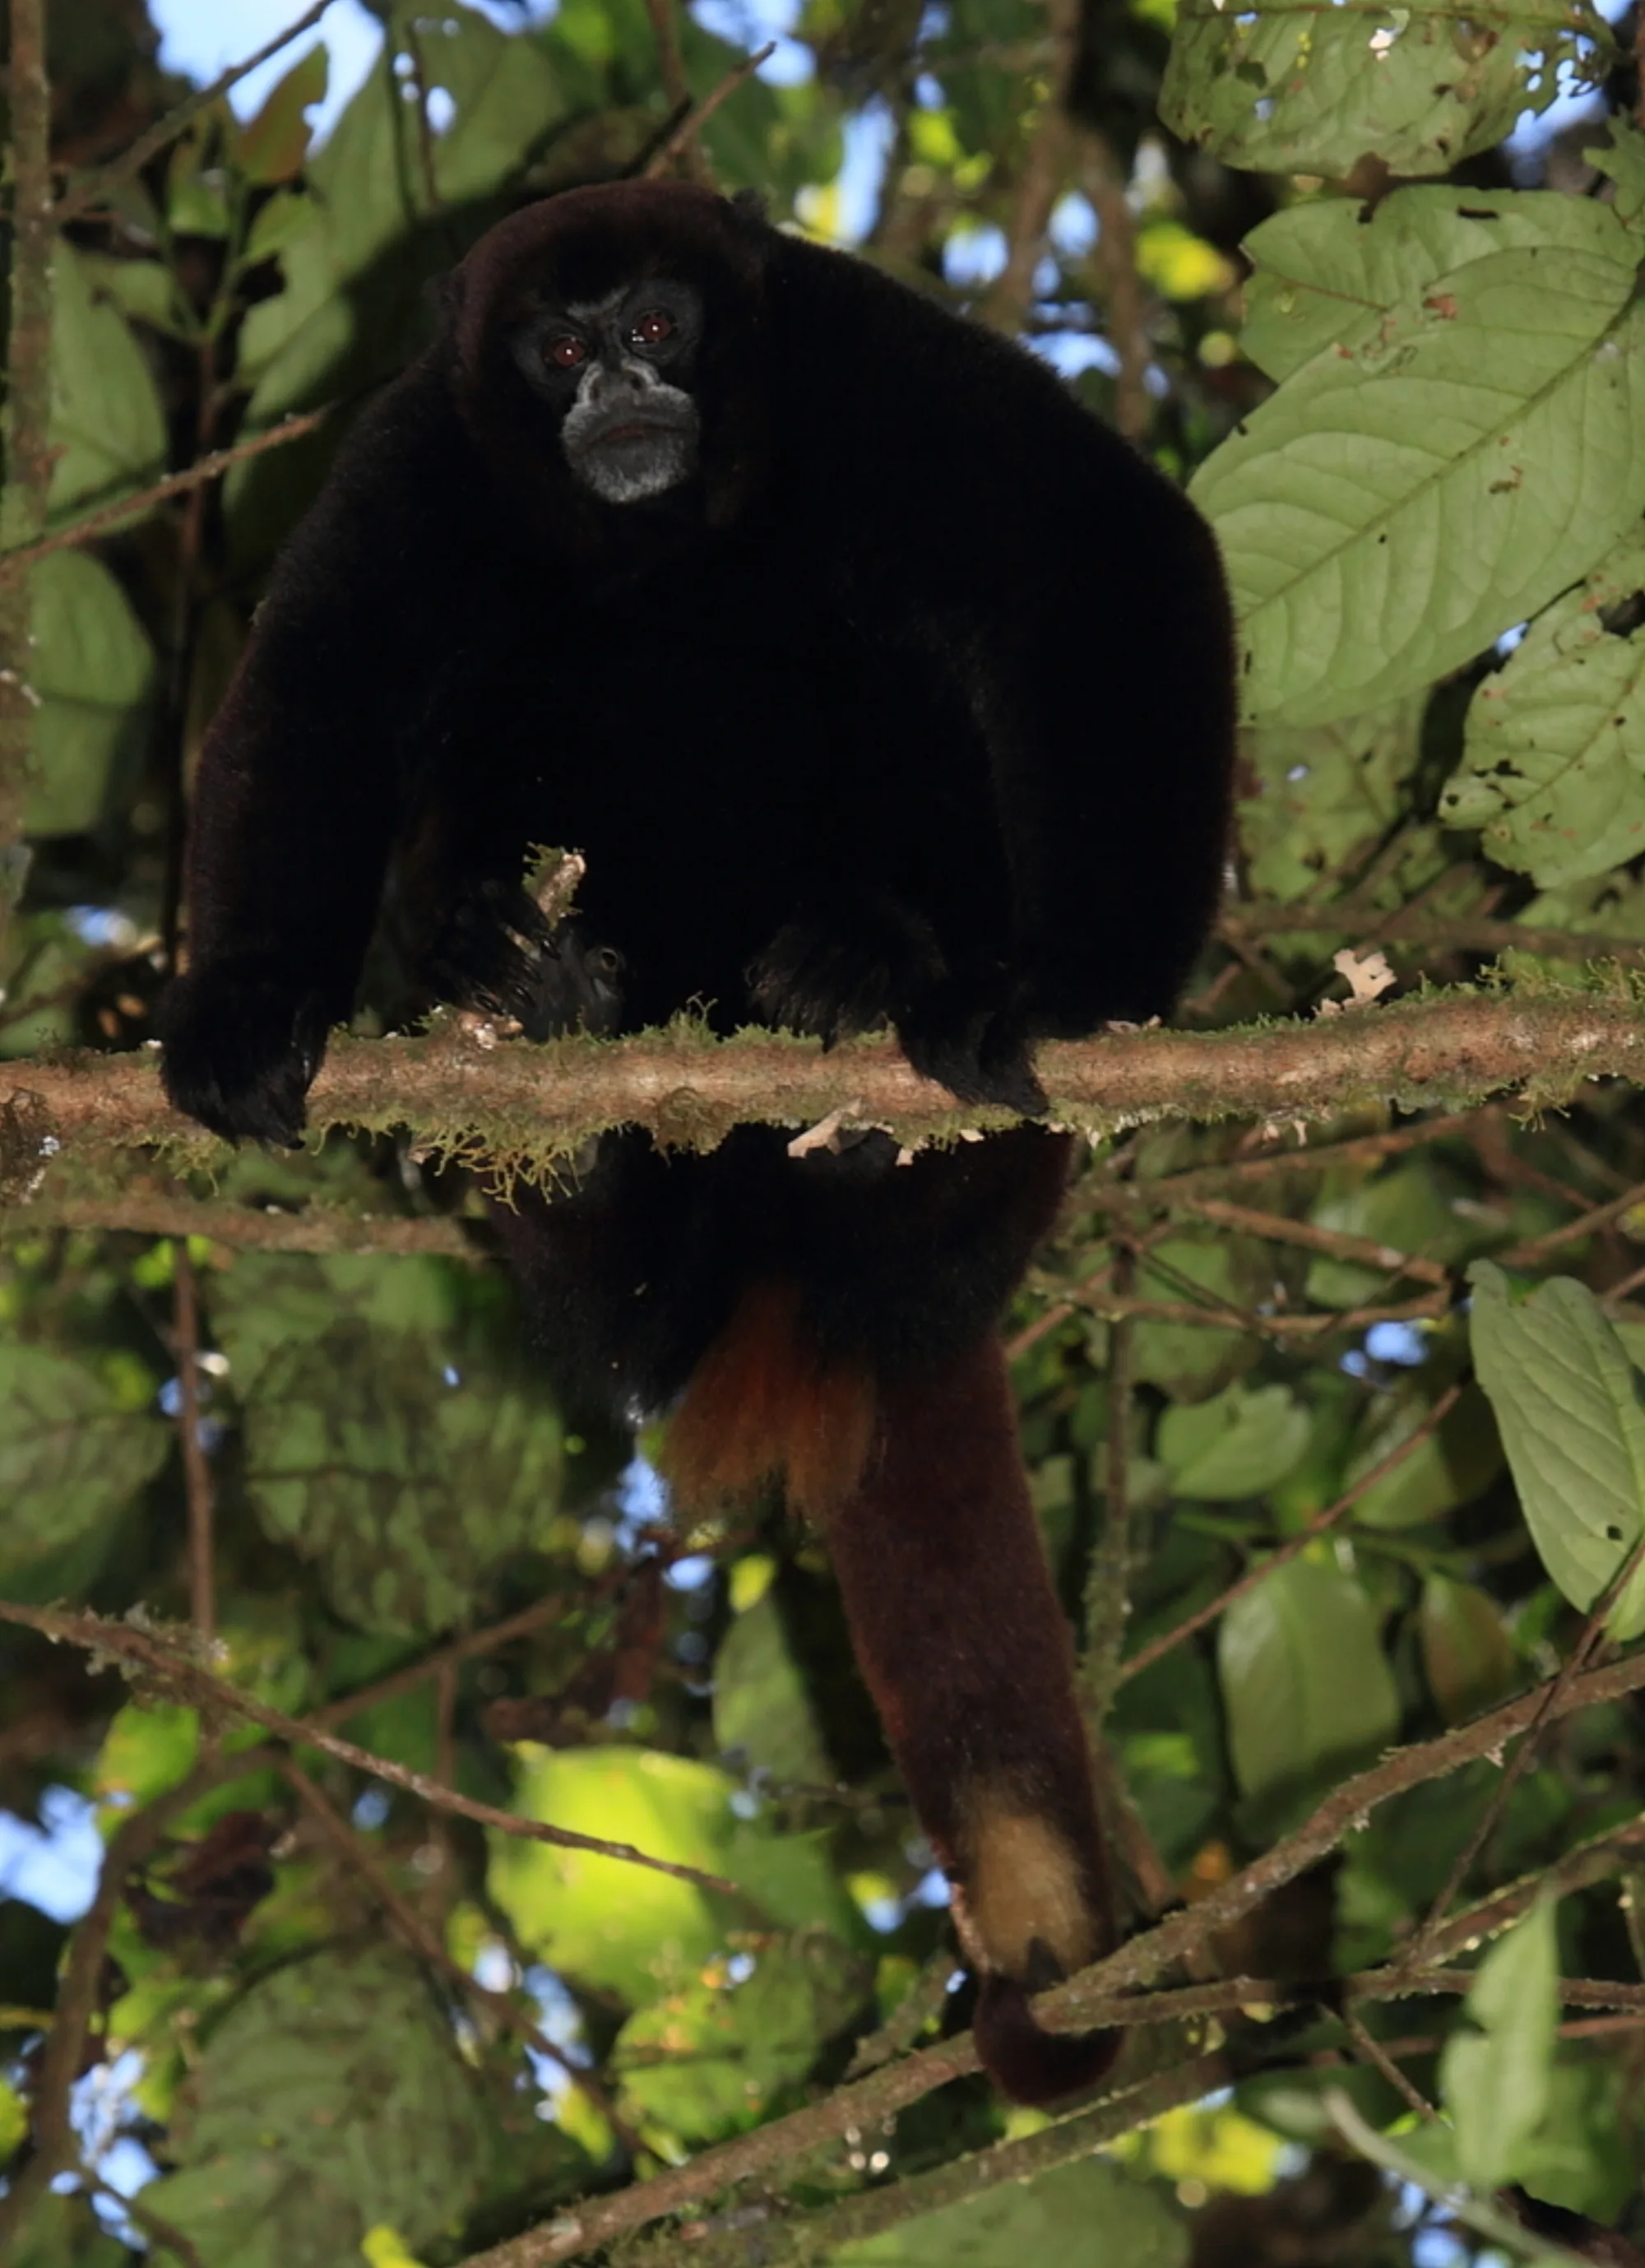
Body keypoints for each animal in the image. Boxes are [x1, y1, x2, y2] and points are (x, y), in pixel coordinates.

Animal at [160, 179, 1236, 2103]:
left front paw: (1087, 977)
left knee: (895, 664)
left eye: (661, 327)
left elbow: (1103, 547)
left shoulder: (863, 362)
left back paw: (871, 999)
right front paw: (250, 999)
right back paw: (548, 1046)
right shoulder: (430, 448)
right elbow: (322, 686)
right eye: (559, 348)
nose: (615, 399)